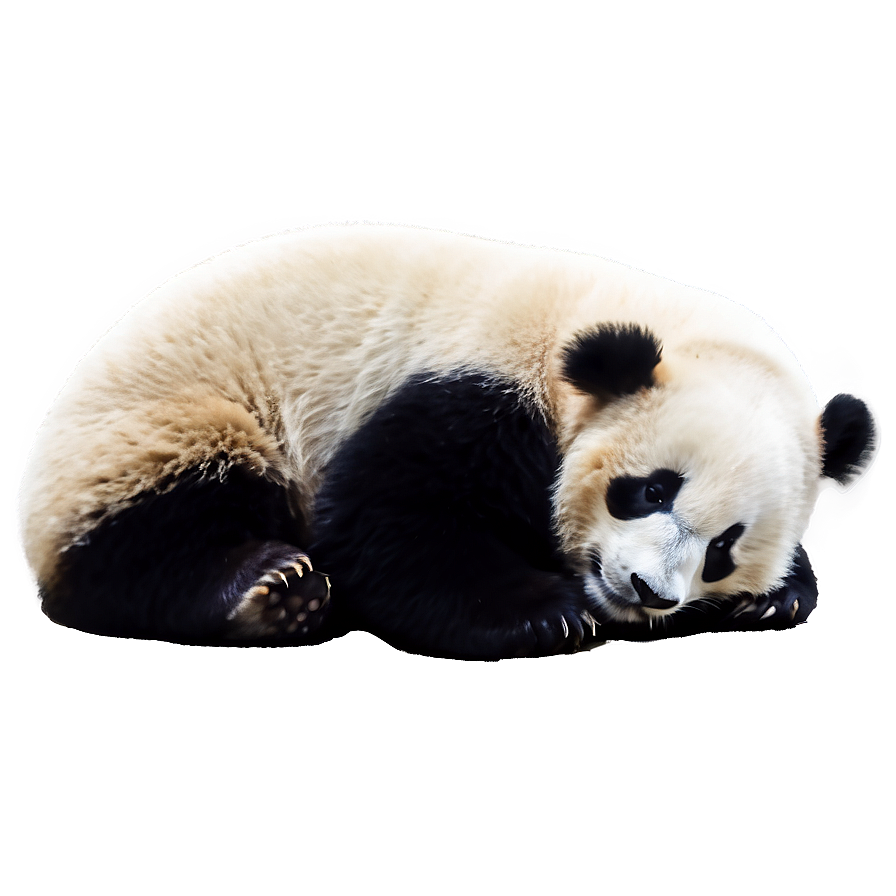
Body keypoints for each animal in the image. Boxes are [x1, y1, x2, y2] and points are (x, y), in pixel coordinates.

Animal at [17, 224, 879, 660]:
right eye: (650, 489)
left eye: (726, 547)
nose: (646, 592)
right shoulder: (475, 380)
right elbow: (393, 517)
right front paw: (545, 613)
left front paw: (774, 596)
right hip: (170, 422)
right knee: (154, 527)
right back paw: (270, 589)